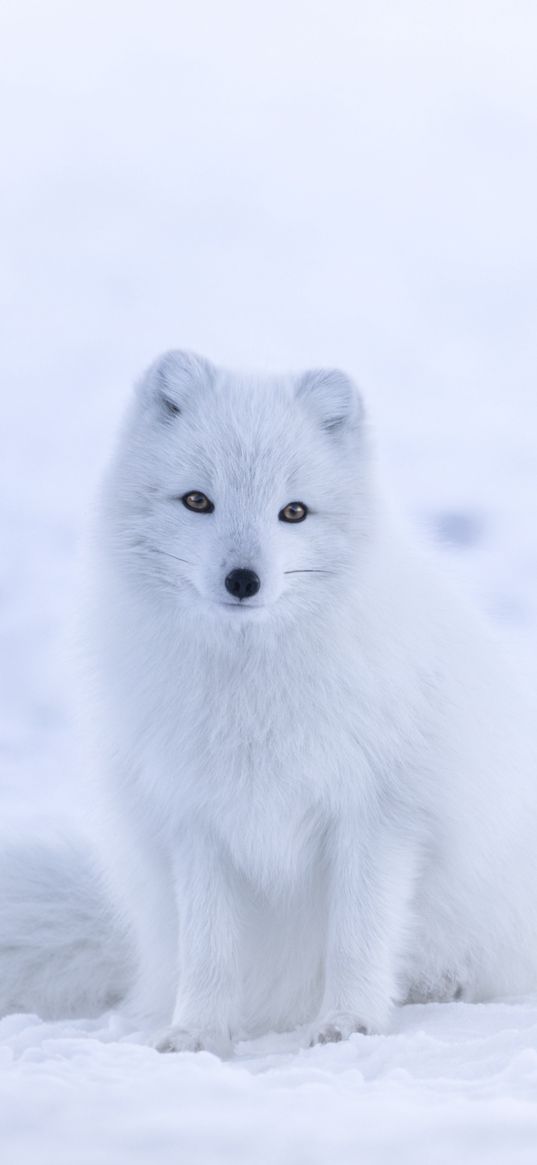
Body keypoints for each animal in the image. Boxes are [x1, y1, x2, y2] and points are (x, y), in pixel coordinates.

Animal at [3, 349, 535, 1053]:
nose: (243, 580)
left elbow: (357, 937)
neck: (251, 689)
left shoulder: (378, 815)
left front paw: (349, 1024)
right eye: (197, 500)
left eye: (294, 512)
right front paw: (197, 1034)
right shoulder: (196, 821)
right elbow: (209, 948)